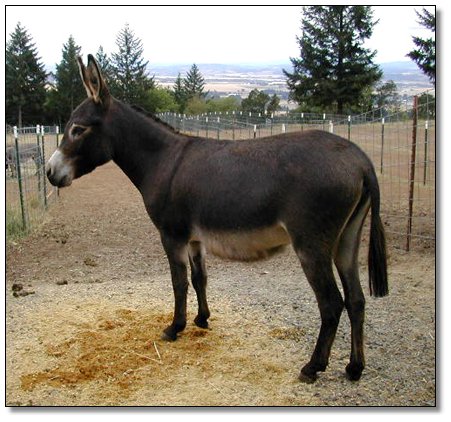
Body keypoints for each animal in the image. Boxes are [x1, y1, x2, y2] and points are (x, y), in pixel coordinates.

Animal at [46, 55, 388, 383]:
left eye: (78, 129)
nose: (50, 173)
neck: (161, 160)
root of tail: (361, 159)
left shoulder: (171, 234)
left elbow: (179, 282)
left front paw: (175, 327)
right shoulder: (195, 237)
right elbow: (200, 278)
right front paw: (202, 319)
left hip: (311, 243)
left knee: (331, 304)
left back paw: (313, 367)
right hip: (347, 237)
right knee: (356, 300)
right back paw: (354, 368)